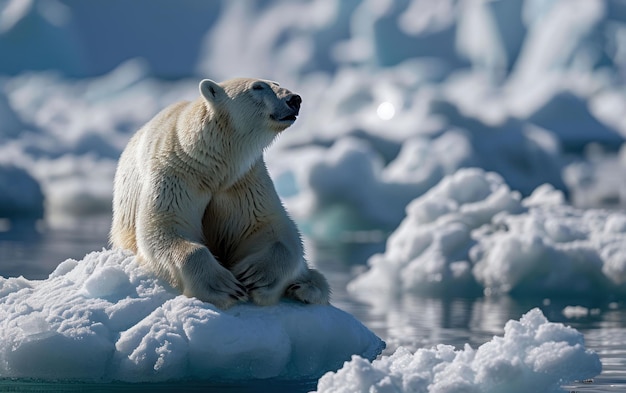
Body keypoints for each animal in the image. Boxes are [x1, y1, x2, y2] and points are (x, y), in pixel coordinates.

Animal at [109, 77, 330, 310]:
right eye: (258, 87)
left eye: (276, 83)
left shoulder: (244, 181)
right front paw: (224, 287)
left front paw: (255, 277)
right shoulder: (175, 175)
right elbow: (164, 226)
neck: (209, 165)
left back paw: (305, 287)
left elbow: (268, 227)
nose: (294, 99)